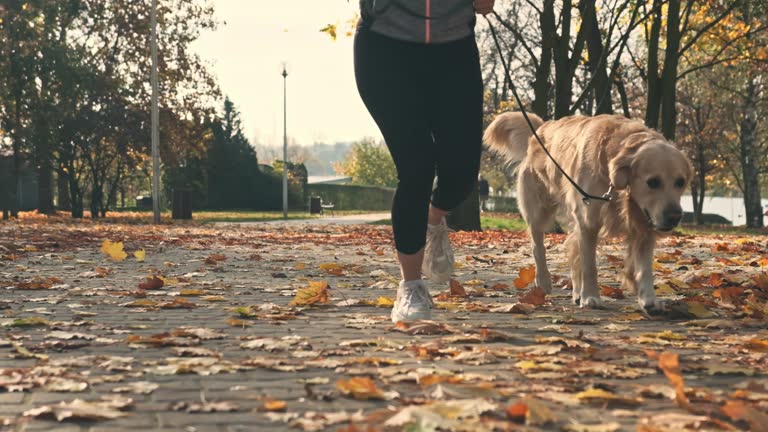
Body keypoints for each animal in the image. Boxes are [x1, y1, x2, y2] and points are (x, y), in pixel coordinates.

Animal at [488, 113, 692, 312]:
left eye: (680, 182)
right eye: (653, 182)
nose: (674, 217)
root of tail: (541, 128)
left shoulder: (644, 222)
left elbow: (644, 268)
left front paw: (649, 299)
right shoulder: (588, 220)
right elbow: (589, 265)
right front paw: (590, 296)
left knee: (573, 250)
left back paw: (577, 292)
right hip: (538, 211)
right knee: (538, 247)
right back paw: (544, 282)